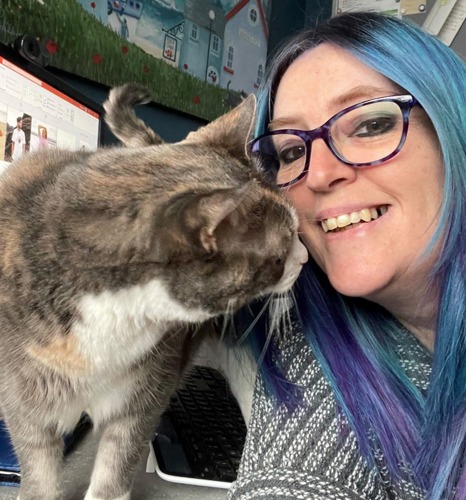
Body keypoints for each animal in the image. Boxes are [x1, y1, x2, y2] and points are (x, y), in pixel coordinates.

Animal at [0, 83, 308, 500]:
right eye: (280, 252)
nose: (305, 258)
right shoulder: (22, 399)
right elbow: (37, 464)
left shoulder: (145, 392)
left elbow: (117, 463)